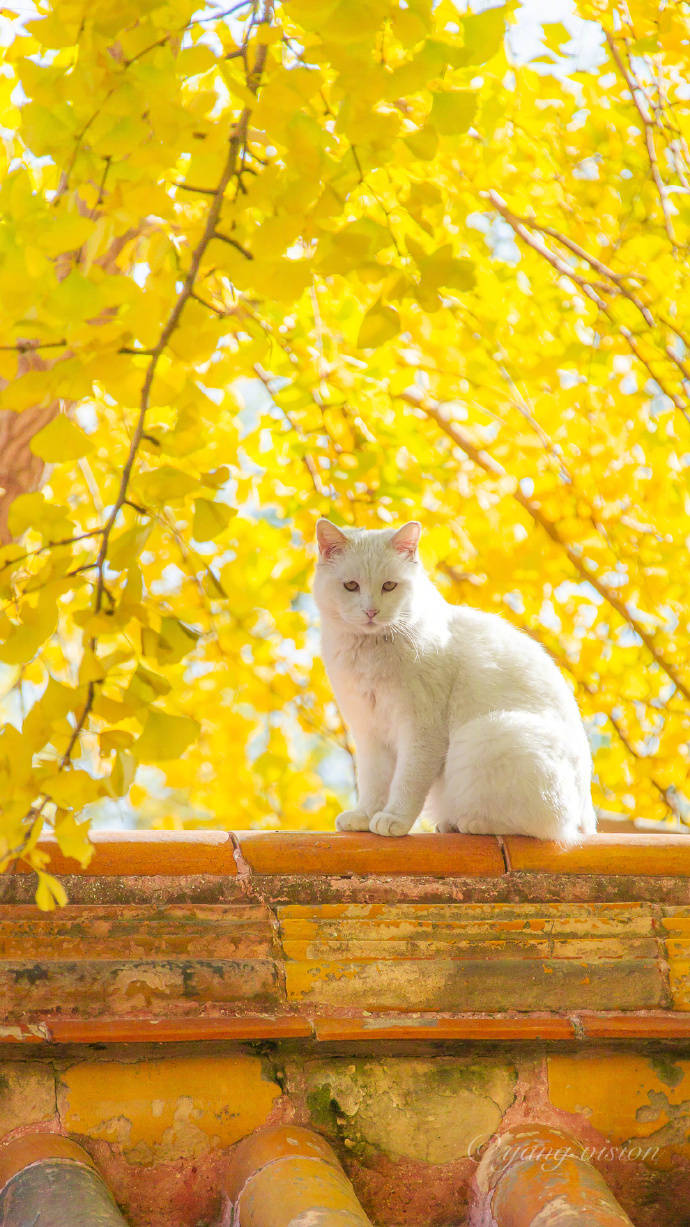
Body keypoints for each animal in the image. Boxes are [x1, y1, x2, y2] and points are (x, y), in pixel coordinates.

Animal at [314, 517, 594, 844]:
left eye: (389, 586)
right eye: (351, 586)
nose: (371, 611)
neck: (370, 650)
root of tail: (587, 817)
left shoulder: (421, 730)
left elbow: (407, 782)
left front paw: (394, 820)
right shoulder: (369, 733)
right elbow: (374, 782)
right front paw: (364, 817)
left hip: (491, 734)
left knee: (544, 827)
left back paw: (471, 823)